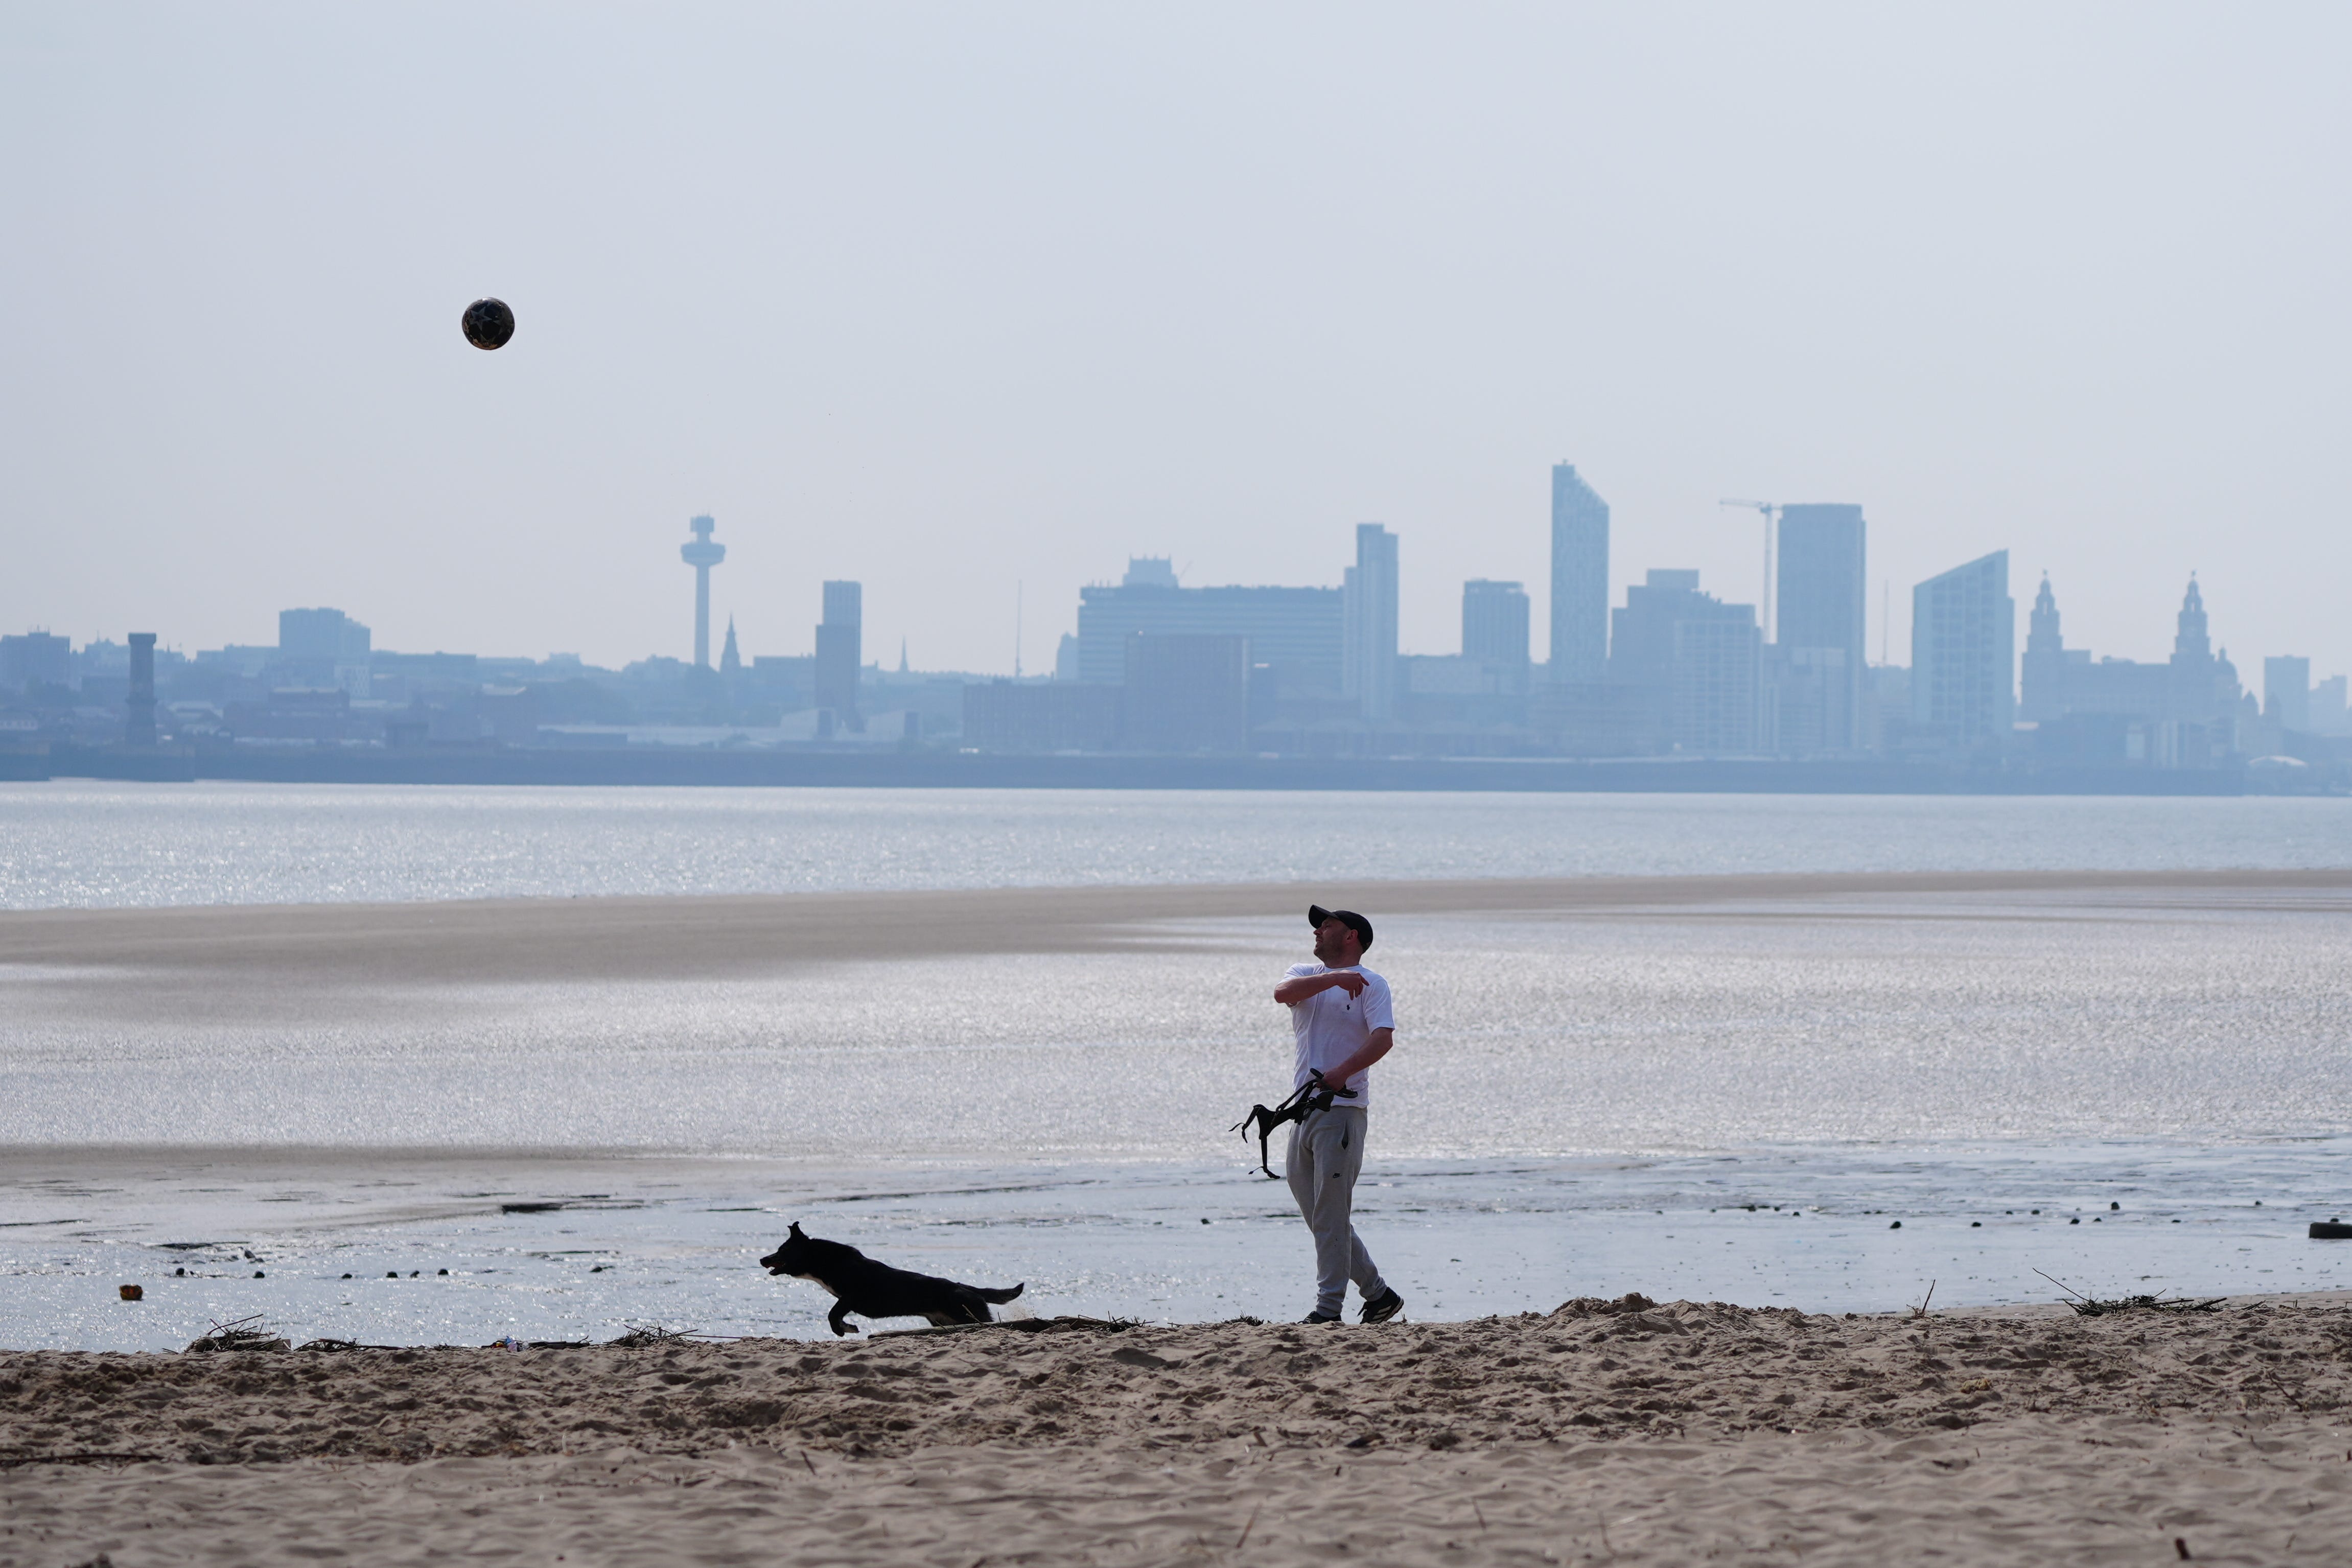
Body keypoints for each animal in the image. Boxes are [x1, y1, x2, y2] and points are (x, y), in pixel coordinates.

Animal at [757, 1222, 1025, 1335]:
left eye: (782, 1250)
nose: (762, 1259)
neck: (826, 1261)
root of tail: (967, 1288)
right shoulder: (847, 1300)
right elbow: (835, 1314)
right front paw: (846, 1328)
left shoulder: (851, 1297)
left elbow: (833, 1315)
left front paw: (844, 1330)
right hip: (945, 1321)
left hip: (972, 1315)